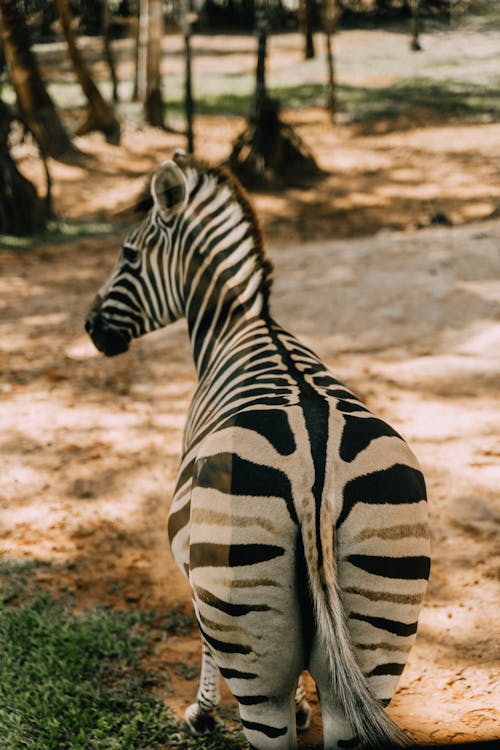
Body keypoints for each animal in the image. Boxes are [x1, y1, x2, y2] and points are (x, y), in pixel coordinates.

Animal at [86, 153, 430, 750]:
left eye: (128, 253)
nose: (90, 328)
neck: (243, 325)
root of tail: (317, 474)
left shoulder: (196, 564)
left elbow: (201, 638)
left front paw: (201, 713)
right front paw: (302, 707)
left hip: (246, 630)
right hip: (381, 631)